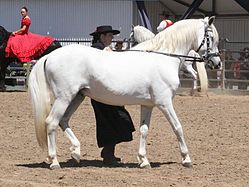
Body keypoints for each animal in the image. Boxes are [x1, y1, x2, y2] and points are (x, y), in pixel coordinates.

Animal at [28, 17, 221, 169]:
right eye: (210, 38)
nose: (217, 63)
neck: (163, 57)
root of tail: (50, 56)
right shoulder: (165, 103)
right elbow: (178, 127)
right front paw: (186, 159)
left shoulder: (148, 105)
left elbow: (144, 130)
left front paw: (144, 160)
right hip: (64, 98)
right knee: (52, 122)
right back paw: (54, 161)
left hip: (77, 97)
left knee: (64, 121)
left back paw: (76, 152)